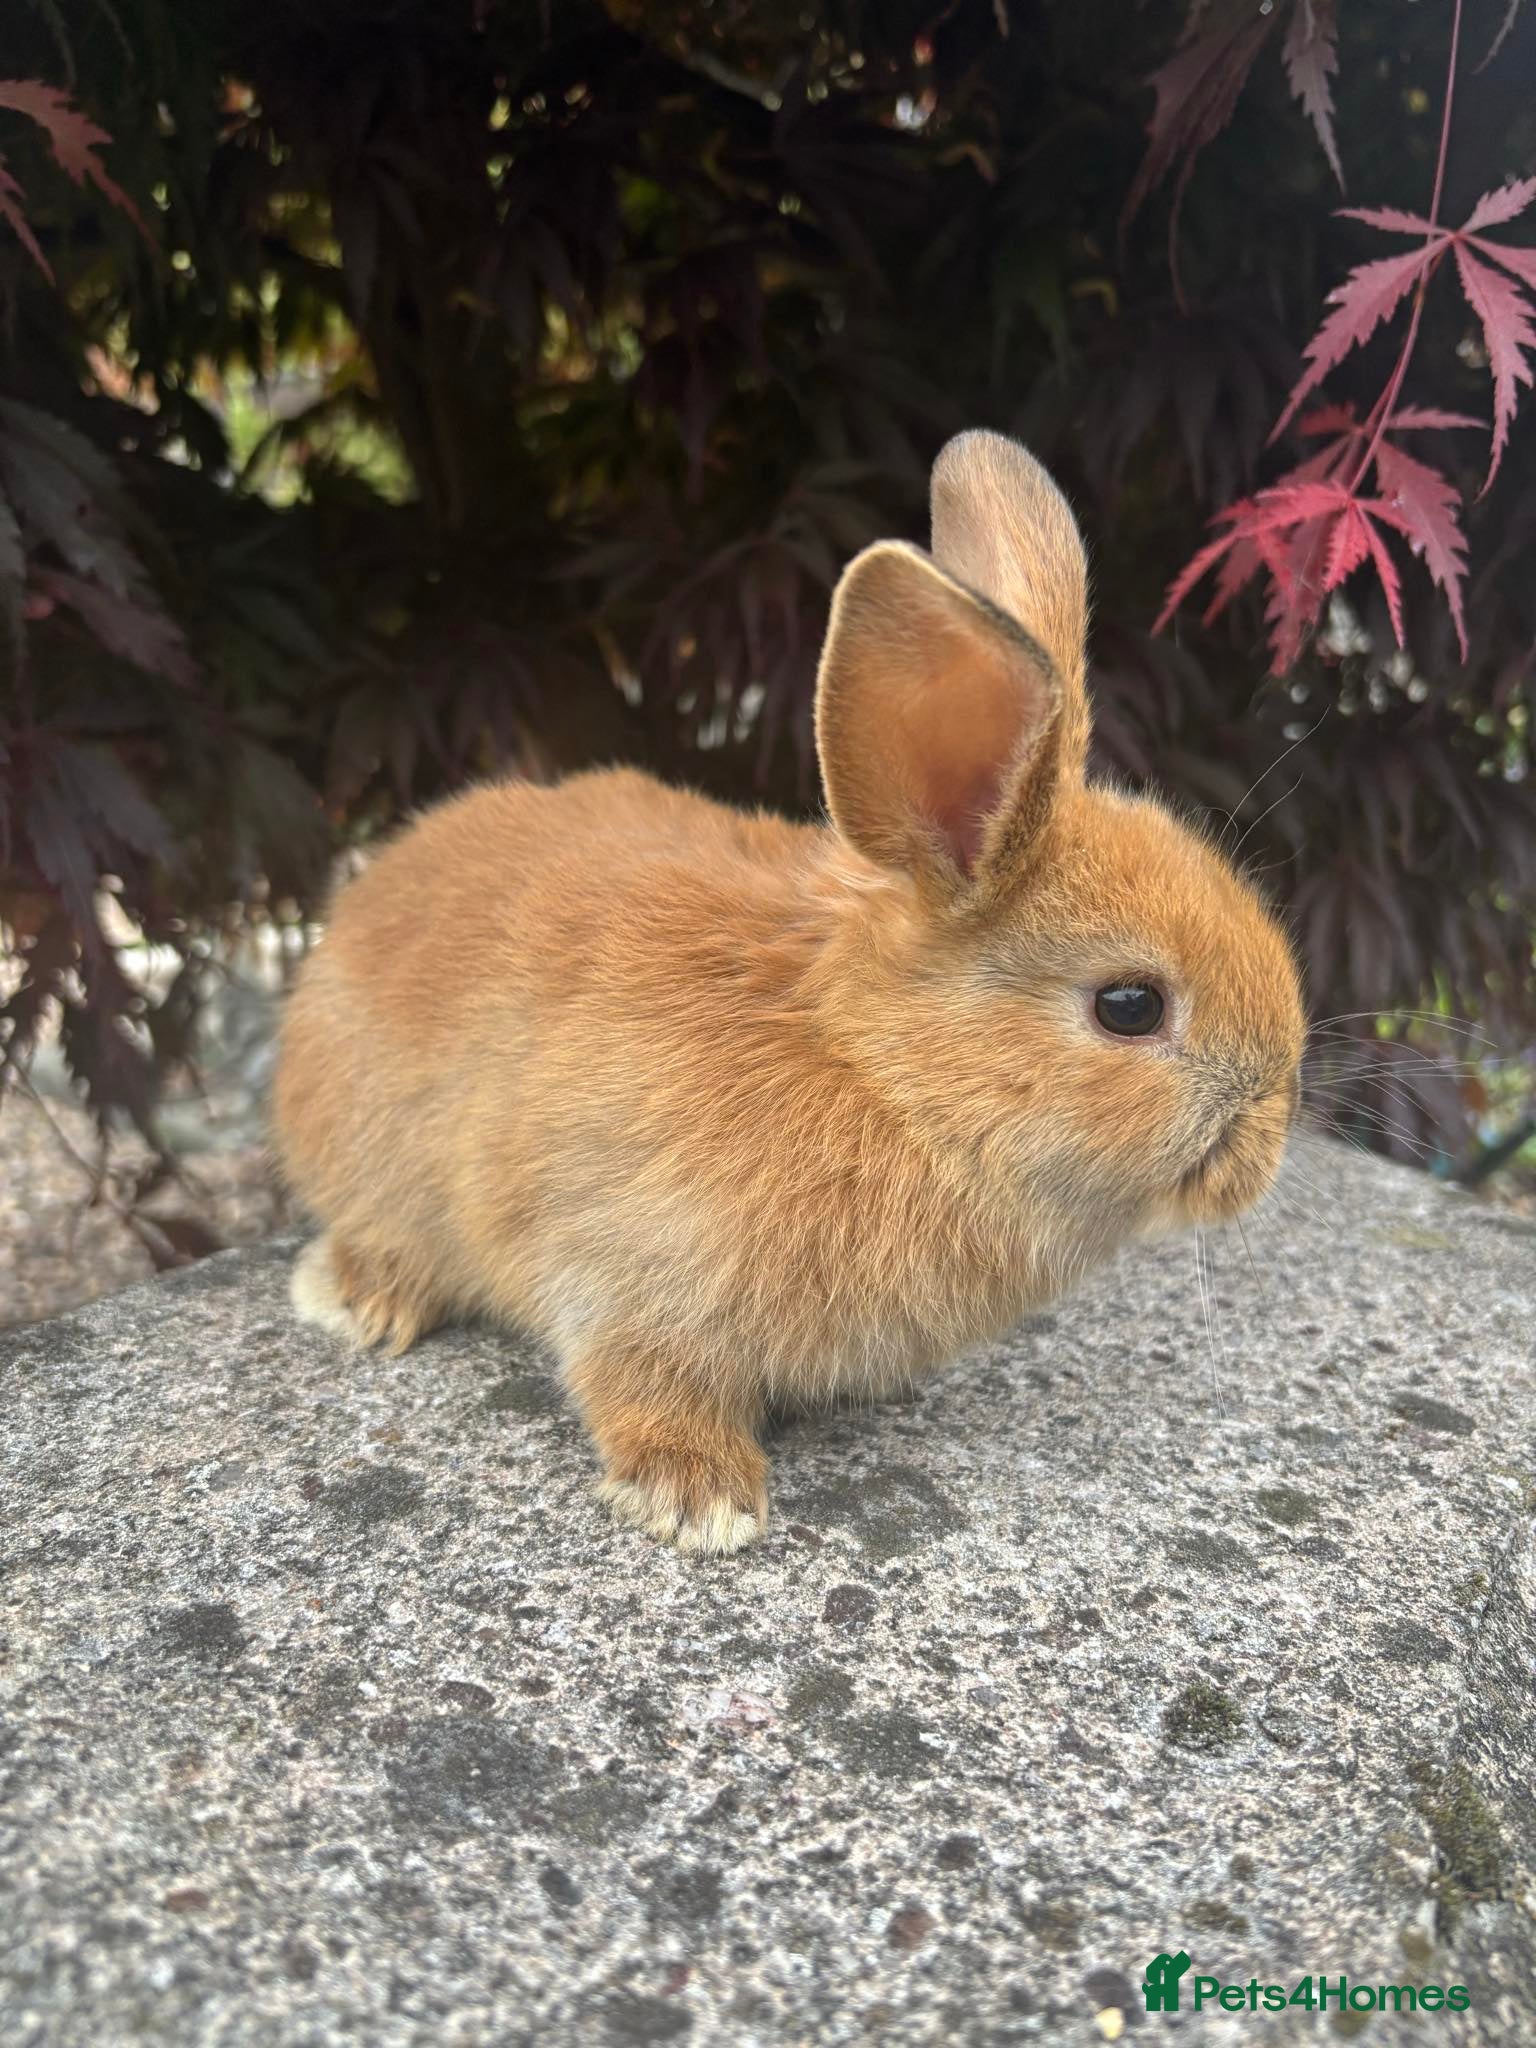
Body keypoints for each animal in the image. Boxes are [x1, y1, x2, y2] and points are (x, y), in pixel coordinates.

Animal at [274, 429, 1305, 1556]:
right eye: (1130, 1006)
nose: (1271, 1135)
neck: (875, 1070)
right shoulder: (631, 1268)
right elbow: (636, 1379)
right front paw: (700, 1500)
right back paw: (359, 1300)